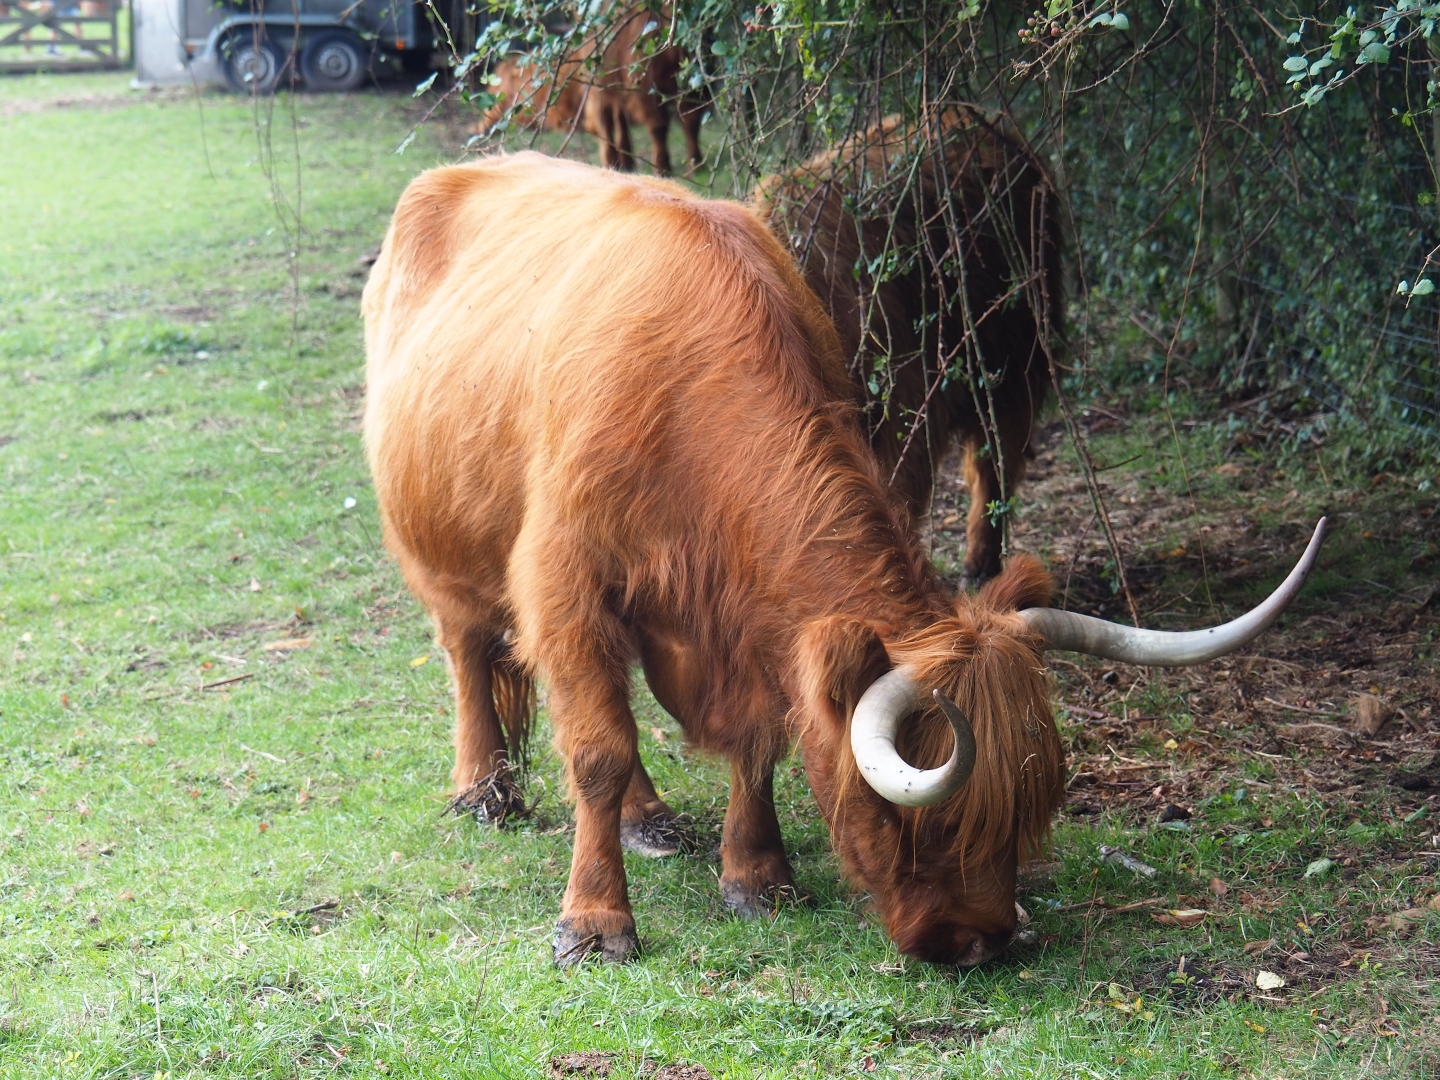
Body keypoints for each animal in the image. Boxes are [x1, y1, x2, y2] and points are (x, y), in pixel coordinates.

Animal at [478, 8, 704, 176]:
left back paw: (667, 166)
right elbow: (618, 121)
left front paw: (615, 162)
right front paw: (624, 163)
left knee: (661, 122)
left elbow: (608, 123)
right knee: (683, 119)